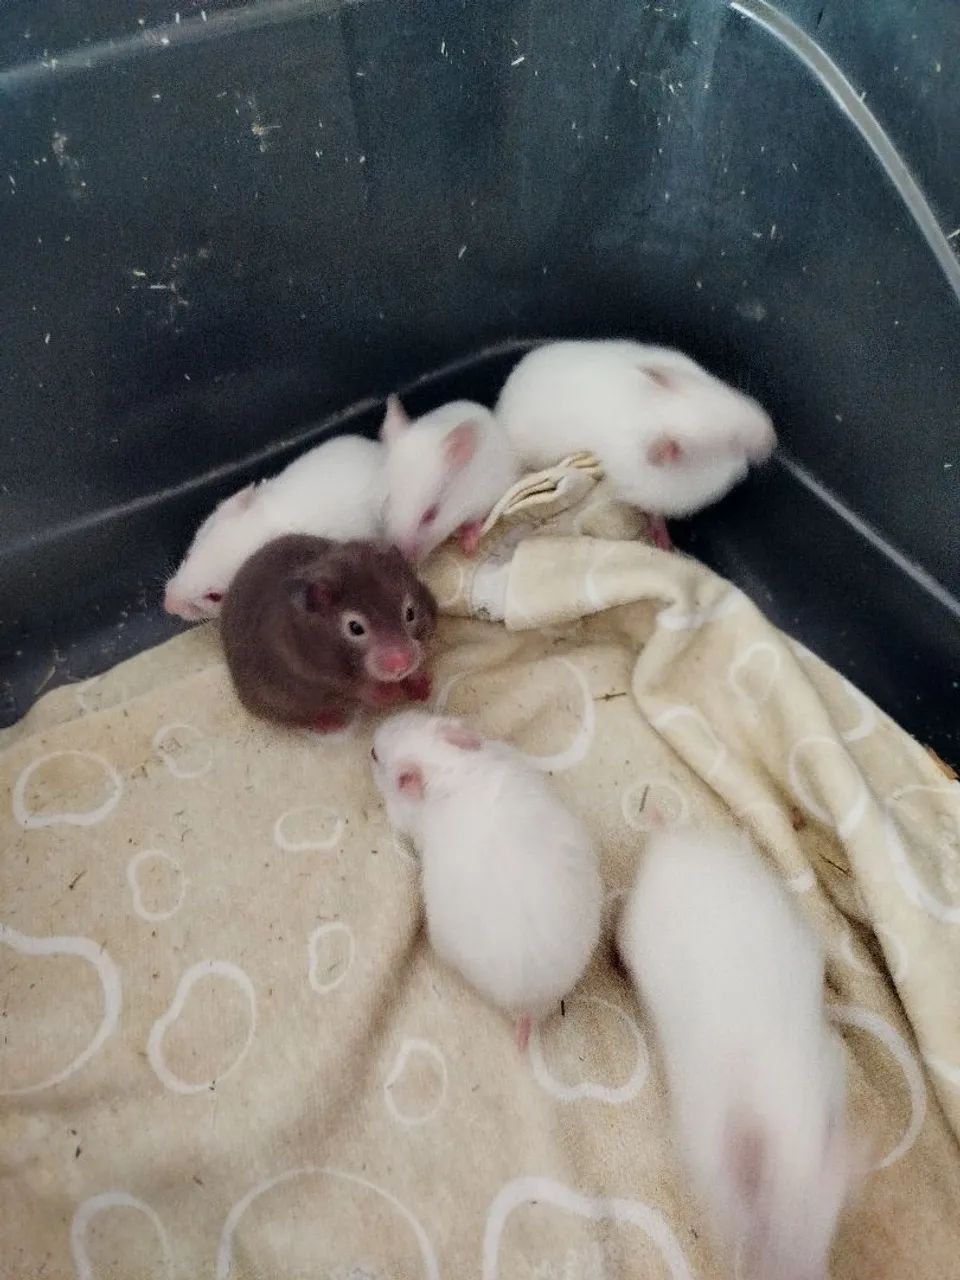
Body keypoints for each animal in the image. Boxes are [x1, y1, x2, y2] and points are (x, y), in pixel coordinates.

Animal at [220, 535, 437, 732]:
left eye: (410, 613)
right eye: (355, 628)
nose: (401, 665)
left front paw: (422, 689)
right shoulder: (314, 672)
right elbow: (356, 687)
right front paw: (390, 695)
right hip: (277, 703)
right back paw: (331, 723)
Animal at [380, 395, 520, 562]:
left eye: (431, 515)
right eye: (386, 503)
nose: (406, 558)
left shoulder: (484, 499)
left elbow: (475, 522)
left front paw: (468, 548)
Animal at [495, 340, 776, 549]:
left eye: (726, 392)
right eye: (732, 443)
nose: (773, 439)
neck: (649, 416)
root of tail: (500, 406)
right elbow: (655, 514)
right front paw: (663, 543)